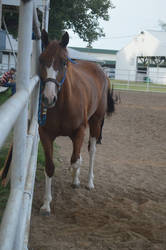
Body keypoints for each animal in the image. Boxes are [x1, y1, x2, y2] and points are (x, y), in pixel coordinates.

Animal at [39, 30, 114, 214]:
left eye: (64, 62)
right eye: (41, 60)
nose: (48, 98)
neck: (63, 104)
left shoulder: (79, 131)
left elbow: (75, 160)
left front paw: (76, 178)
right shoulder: (45, 134)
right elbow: (50, 167)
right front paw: (46, 204)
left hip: (96, 122)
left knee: (91, 151)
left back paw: (89, 182)